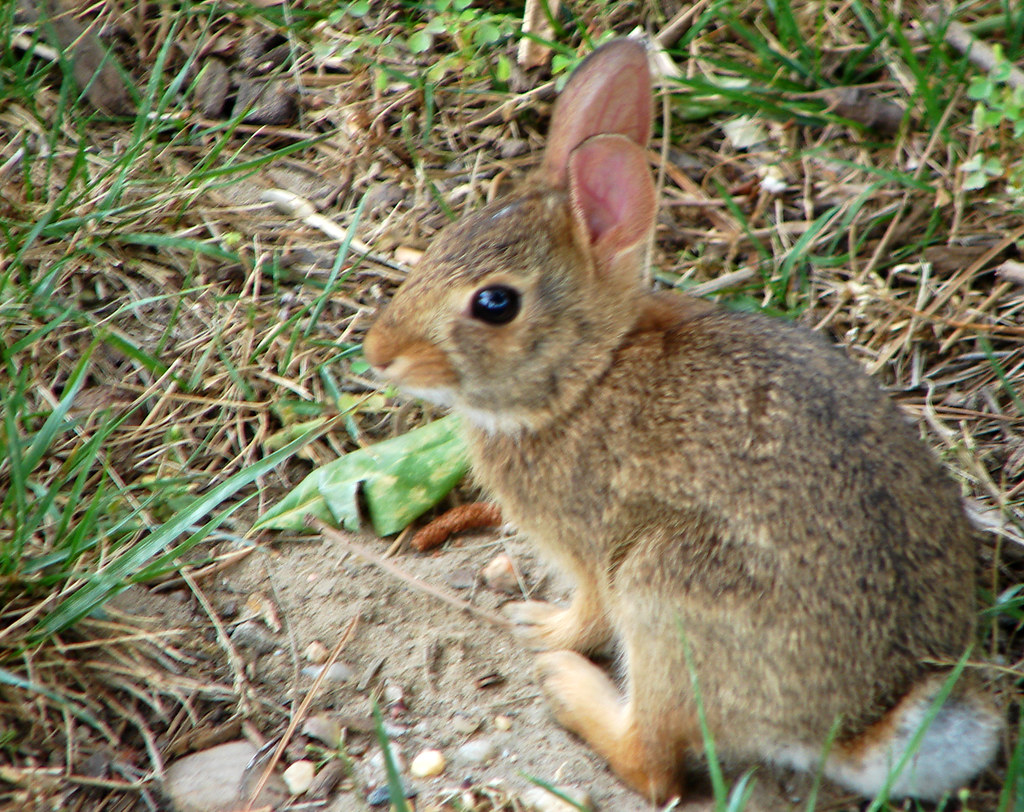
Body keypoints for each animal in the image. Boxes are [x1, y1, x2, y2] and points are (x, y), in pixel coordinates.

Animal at [364, 39, 1003, 802]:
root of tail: (854, 729)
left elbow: (588, 615)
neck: (589, 375)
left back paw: (568, 688)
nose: (379, 353)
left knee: (653, 764)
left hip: (664, 587)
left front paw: (540, 628)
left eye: (495, 304)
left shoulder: (593, 554)